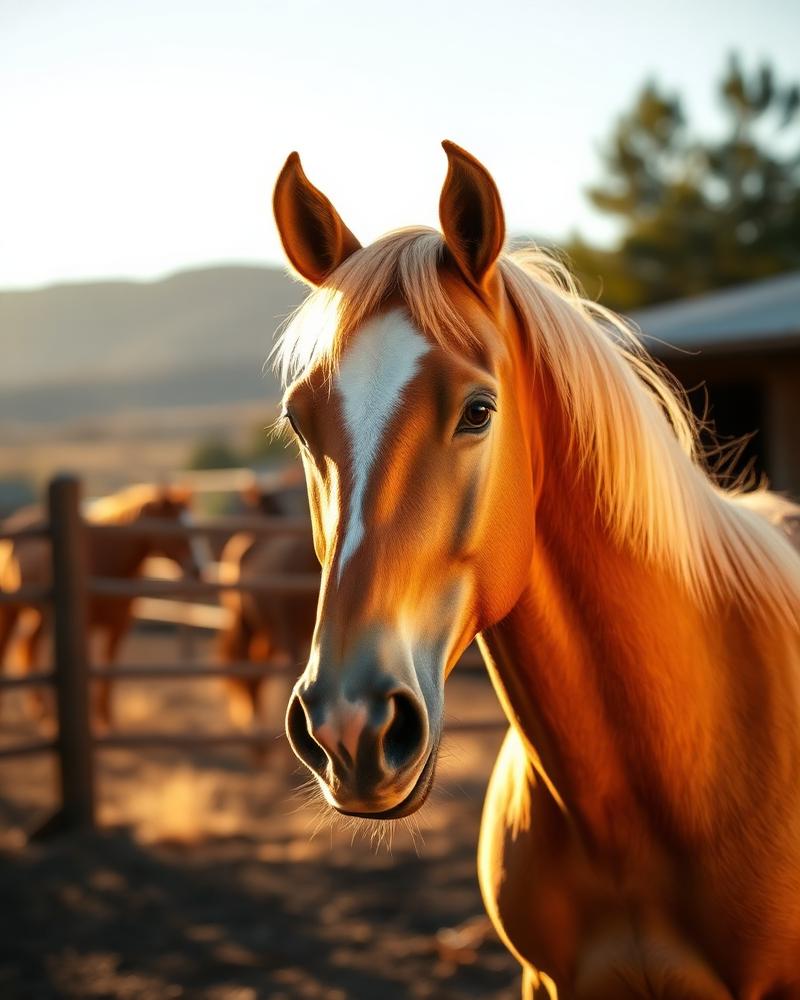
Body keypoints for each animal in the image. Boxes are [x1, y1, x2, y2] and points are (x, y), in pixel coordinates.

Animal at [0, 483, 197, 726]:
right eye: (176, 528)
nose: (198, 569)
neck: (106, 561)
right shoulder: (84, 628)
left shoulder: (119, 626)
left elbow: (107, 667)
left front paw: (105, 719)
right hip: (11, 610)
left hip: (38, 614)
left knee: (27, 646)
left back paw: (41, 710)